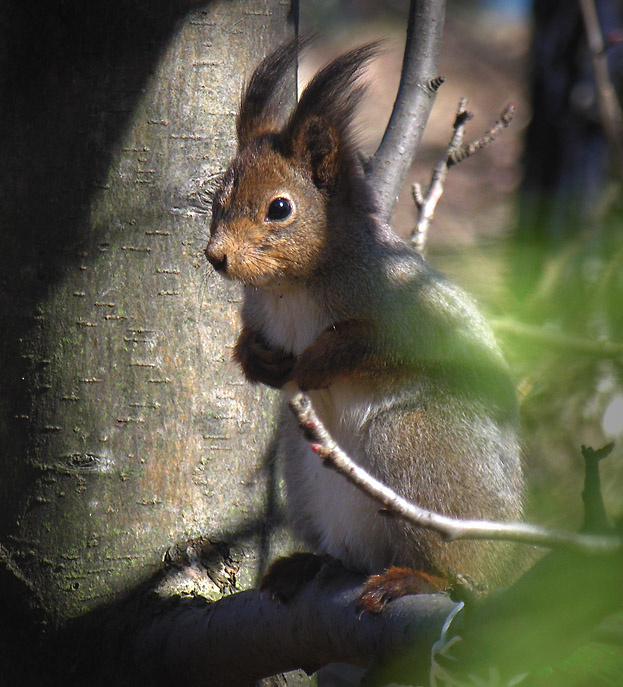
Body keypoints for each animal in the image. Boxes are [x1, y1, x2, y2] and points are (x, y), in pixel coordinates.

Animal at [204, 38, 524, 613]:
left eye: (280, 208)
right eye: (218, 197)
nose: (215, 256)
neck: (294, 285)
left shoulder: (410, 306)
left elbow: (378, 344)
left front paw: (317, 361)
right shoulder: (259, 311)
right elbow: (250, 342)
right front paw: (258, 359)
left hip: (416, 446)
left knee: (456, 569)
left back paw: (415, 579)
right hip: (302, 472)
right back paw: (309, 564)